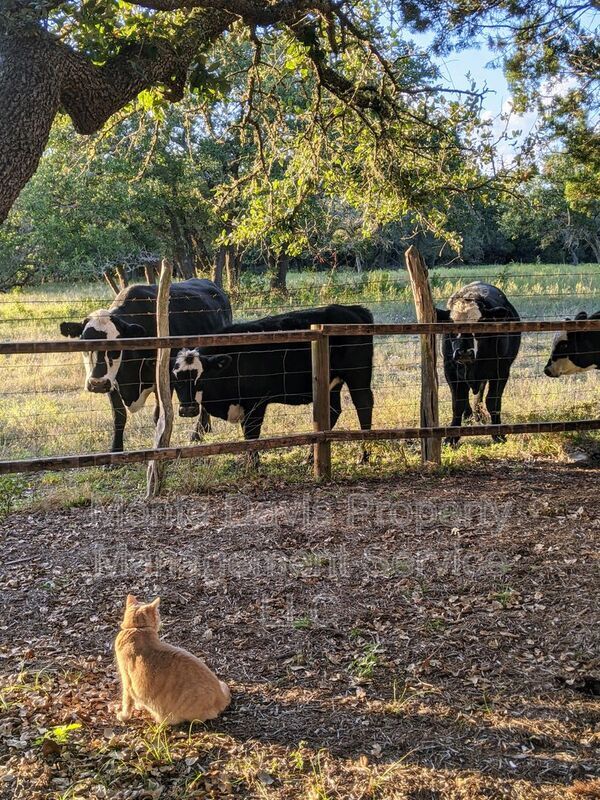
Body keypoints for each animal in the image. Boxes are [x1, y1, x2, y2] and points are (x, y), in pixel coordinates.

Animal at [59, 278, 232, 454]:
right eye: (83, 342)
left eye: (117, 344)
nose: (97, 383)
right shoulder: (112, 383)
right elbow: (119, 416)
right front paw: (116, 449)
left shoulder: (164, 379)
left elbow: (159, 417)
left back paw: (198, 433)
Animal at [114, 592, 230, 724]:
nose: (160, 619)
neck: (137, 629)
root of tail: (221, 697)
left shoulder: (127, 681)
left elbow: (127, 703)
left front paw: (124, 716)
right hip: (222, 683)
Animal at [171, 304, 372, 462]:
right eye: (176, 379)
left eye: (201, 376)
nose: (188, 409)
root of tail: (353, 309)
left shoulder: (257, 402)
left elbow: (251, 433)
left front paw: (253, 464)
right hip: (333, 384)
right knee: (333, 410)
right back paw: (309, 458)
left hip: (358, 376)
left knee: (364, 404)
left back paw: (364, 456)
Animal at [436, 282, 520, 446]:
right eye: (451, 326)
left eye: (479, 324)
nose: (464, 352)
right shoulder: (450, 370)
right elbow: (458, 402)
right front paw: (451, 438)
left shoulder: (501, 370)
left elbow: (493, 401)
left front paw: (498, 434)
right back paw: (469, 415)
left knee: (480, 390)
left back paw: (478, 414)